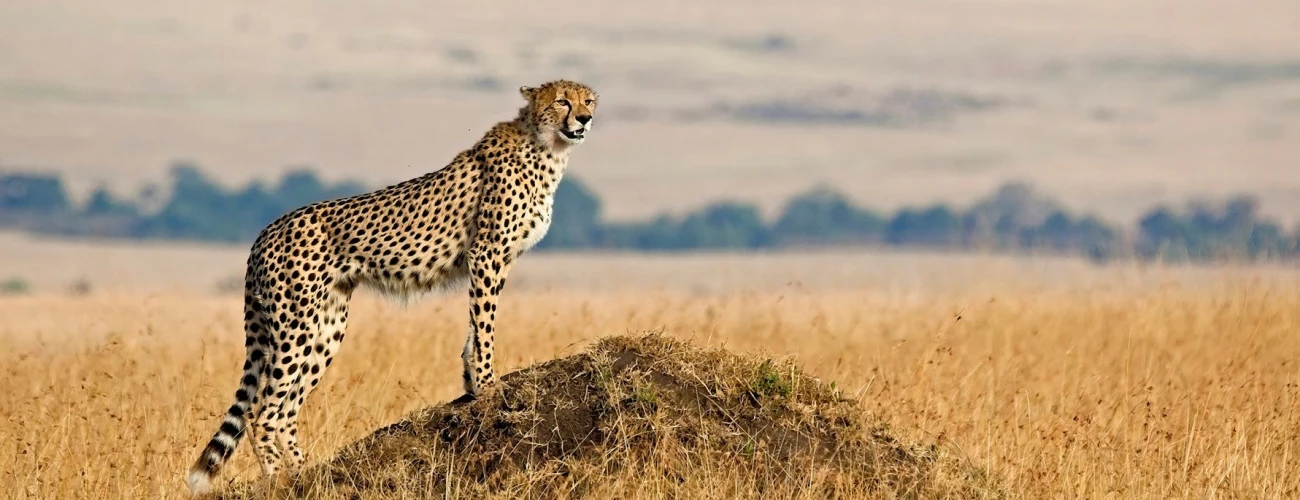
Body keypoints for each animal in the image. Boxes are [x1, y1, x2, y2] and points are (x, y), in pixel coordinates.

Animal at [184, 79, 598, 493]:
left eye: (589, 100)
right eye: (562, 101)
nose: (584, 118)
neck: (547, 146)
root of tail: (267, 231)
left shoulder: (492, 260)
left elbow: (475, 326)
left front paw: (470, 382)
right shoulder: (487, 254)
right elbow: (485, 324)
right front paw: (486, 385)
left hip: (326, 327)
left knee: (284, 410)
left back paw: (308, 473)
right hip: (296, 325)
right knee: (263, 412)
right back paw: (280, 483)